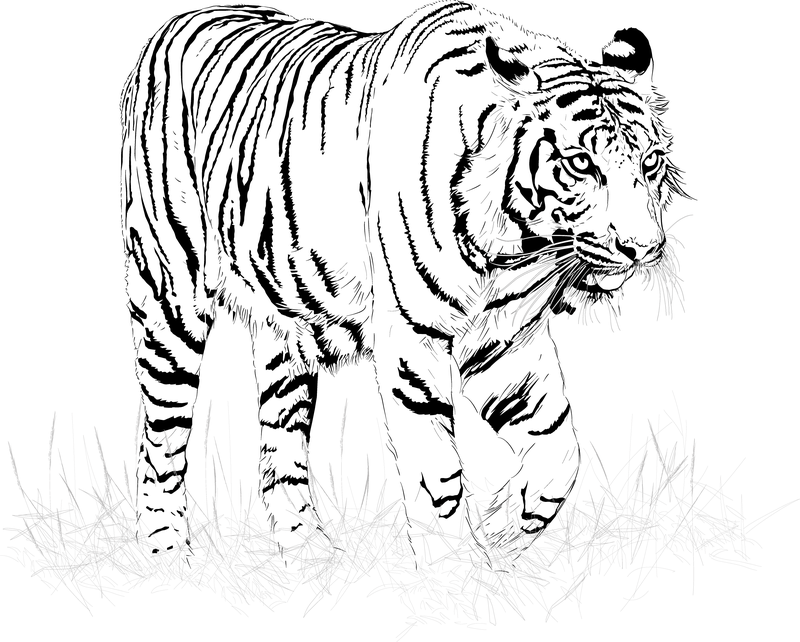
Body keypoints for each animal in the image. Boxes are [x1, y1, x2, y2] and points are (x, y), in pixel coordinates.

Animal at [120, 1, 686, 561]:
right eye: (581, 164)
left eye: (651, 162)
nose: (642, 248)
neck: (513, 248)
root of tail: (173, 24)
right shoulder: (414, 342)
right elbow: (439, 478)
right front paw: (454, 570)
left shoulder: (506, 342)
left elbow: (560, 452)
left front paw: (500, 531)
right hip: (169, 301)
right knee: (161, 444)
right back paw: (167, 556)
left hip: (286, 330)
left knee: (281, 448)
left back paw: (309, 558)